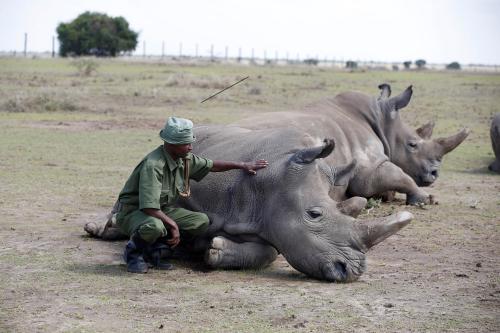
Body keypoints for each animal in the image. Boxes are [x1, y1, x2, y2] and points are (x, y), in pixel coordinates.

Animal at [87, 126, 414, 282]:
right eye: (314, 214)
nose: (353, 271)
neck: (273, 179)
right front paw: (185, 247)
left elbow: (268, 252)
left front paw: (215, 250)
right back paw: (100, 229)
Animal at [236, 83, 470, 205]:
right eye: (413, 145)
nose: (434, 173)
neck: (381, 118)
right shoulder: (368, 167)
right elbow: (399, 176)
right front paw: (426, 199)